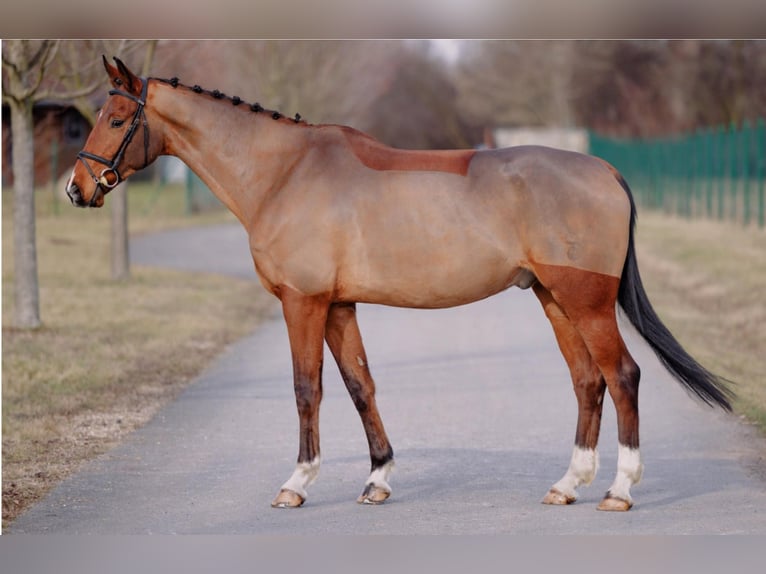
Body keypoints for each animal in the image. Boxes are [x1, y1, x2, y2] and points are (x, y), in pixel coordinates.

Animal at [66, 58, 732, 516]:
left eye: (118, 118)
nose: (77, 188)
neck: (286, 173)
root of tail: (605, 171)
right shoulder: (338, 306)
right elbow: (360, 386)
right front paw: (377, 479)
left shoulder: (303, 303)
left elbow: (307, 389)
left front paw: (296, 484)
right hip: (554, 300)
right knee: (588, 381)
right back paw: (568, 485)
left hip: (586, 301)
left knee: (623, 377)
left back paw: (619, 490)